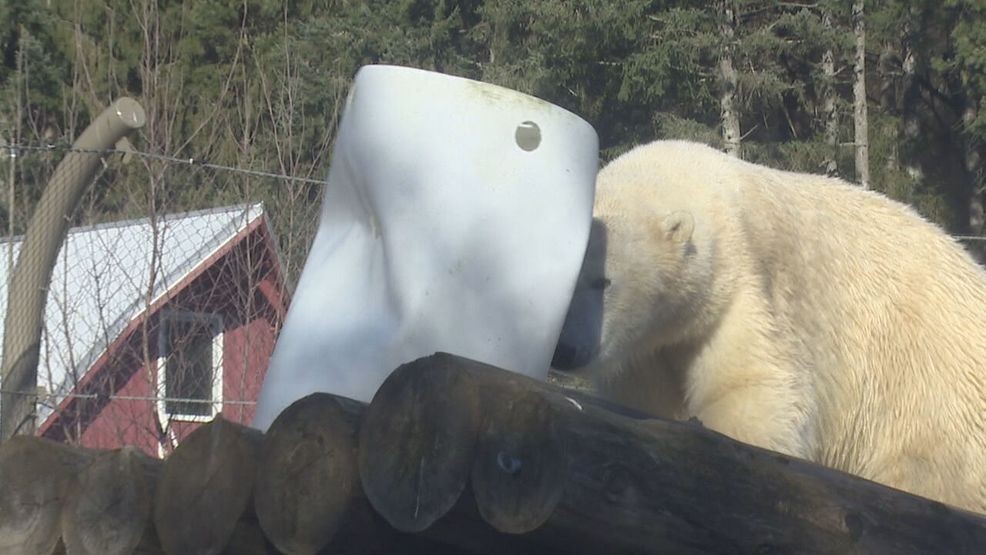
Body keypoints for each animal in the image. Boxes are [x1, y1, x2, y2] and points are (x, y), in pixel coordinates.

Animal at [552, 139, 986, 514]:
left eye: (603, 281)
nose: (565, 350)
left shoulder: (745, 285)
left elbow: (750, 387)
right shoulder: (649, 346)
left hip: (930, 389)